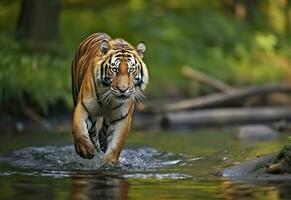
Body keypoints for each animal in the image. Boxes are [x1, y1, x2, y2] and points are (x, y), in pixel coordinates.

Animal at [70, 32, 148, 164]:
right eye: (114, 69)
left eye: (131, 69)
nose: (123, 89)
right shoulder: (83, 106)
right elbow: (78, 127)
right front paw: (85, 150)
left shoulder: (123, 117)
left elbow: (116, 144)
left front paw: (108, 162)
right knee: (91, 131)